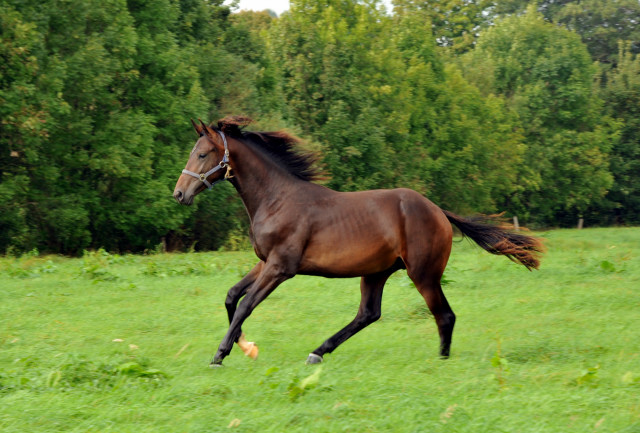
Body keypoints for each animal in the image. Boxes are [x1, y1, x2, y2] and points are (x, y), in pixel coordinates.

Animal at [172, 116, 544, 366]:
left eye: (203, 154)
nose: (179, 194)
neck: (276, 199)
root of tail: (438, 211)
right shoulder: (265, 261)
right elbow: (232, 296)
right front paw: (245, 346)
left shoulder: (281, 267)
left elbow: (246, 305)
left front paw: (221, 354)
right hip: (377, 272)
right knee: (368, 313)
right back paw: (317, 352)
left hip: (423, 274)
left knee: (444, 315)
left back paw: (441, 360)